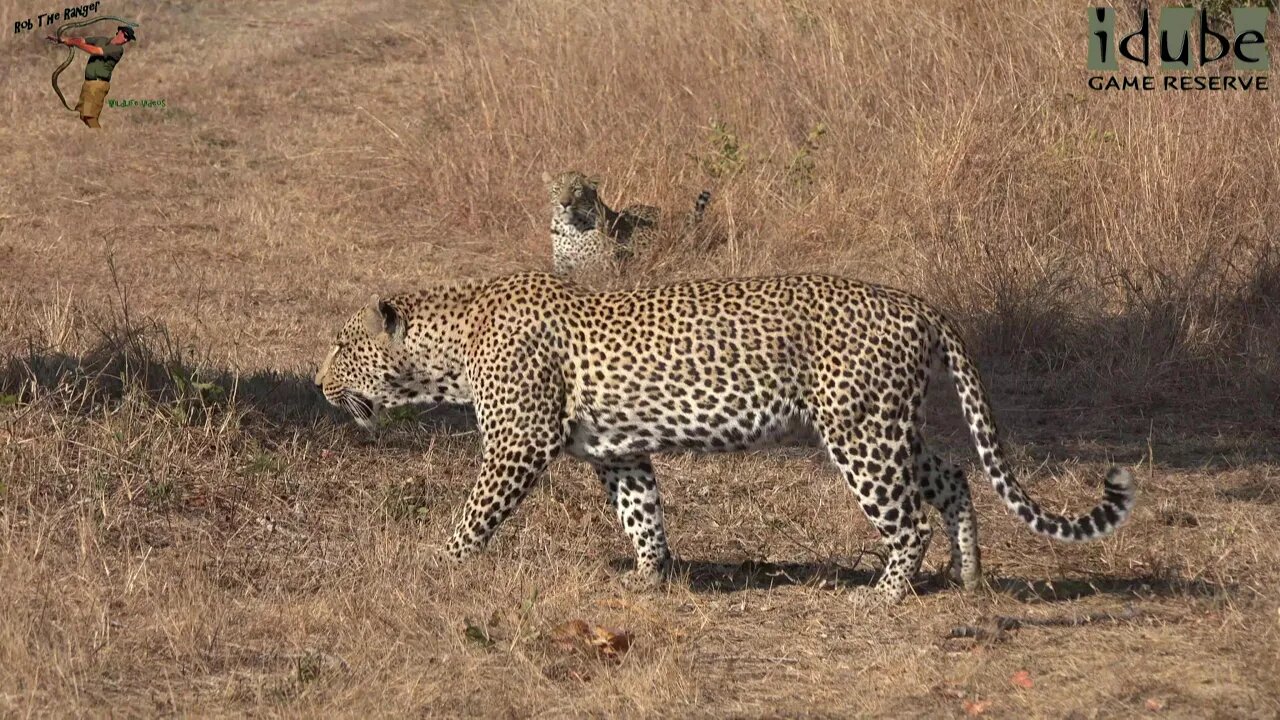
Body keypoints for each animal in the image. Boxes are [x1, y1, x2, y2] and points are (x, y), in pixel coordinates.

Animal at [314, 271, 1136, 602]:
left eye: (341, 346)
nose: (317, 385)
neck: (450, 349)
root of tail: (918, 302)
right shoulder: (618, 451)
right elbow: (642, 516)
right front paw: (650, 579)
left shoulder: (520, 441)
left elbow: (473, 516)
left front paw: (437, 566)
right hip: (889, 424)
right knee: (955, 477)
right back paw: (968, 578)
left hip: (860, 434)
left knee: (907, 520)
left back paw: (882, 596)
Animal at [545, 169, 716, 279]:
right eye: (557, 189)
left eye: (576, 190)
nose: (564, 203)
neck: (570, 228)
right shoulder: (560, 264)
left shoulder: (603, 266)